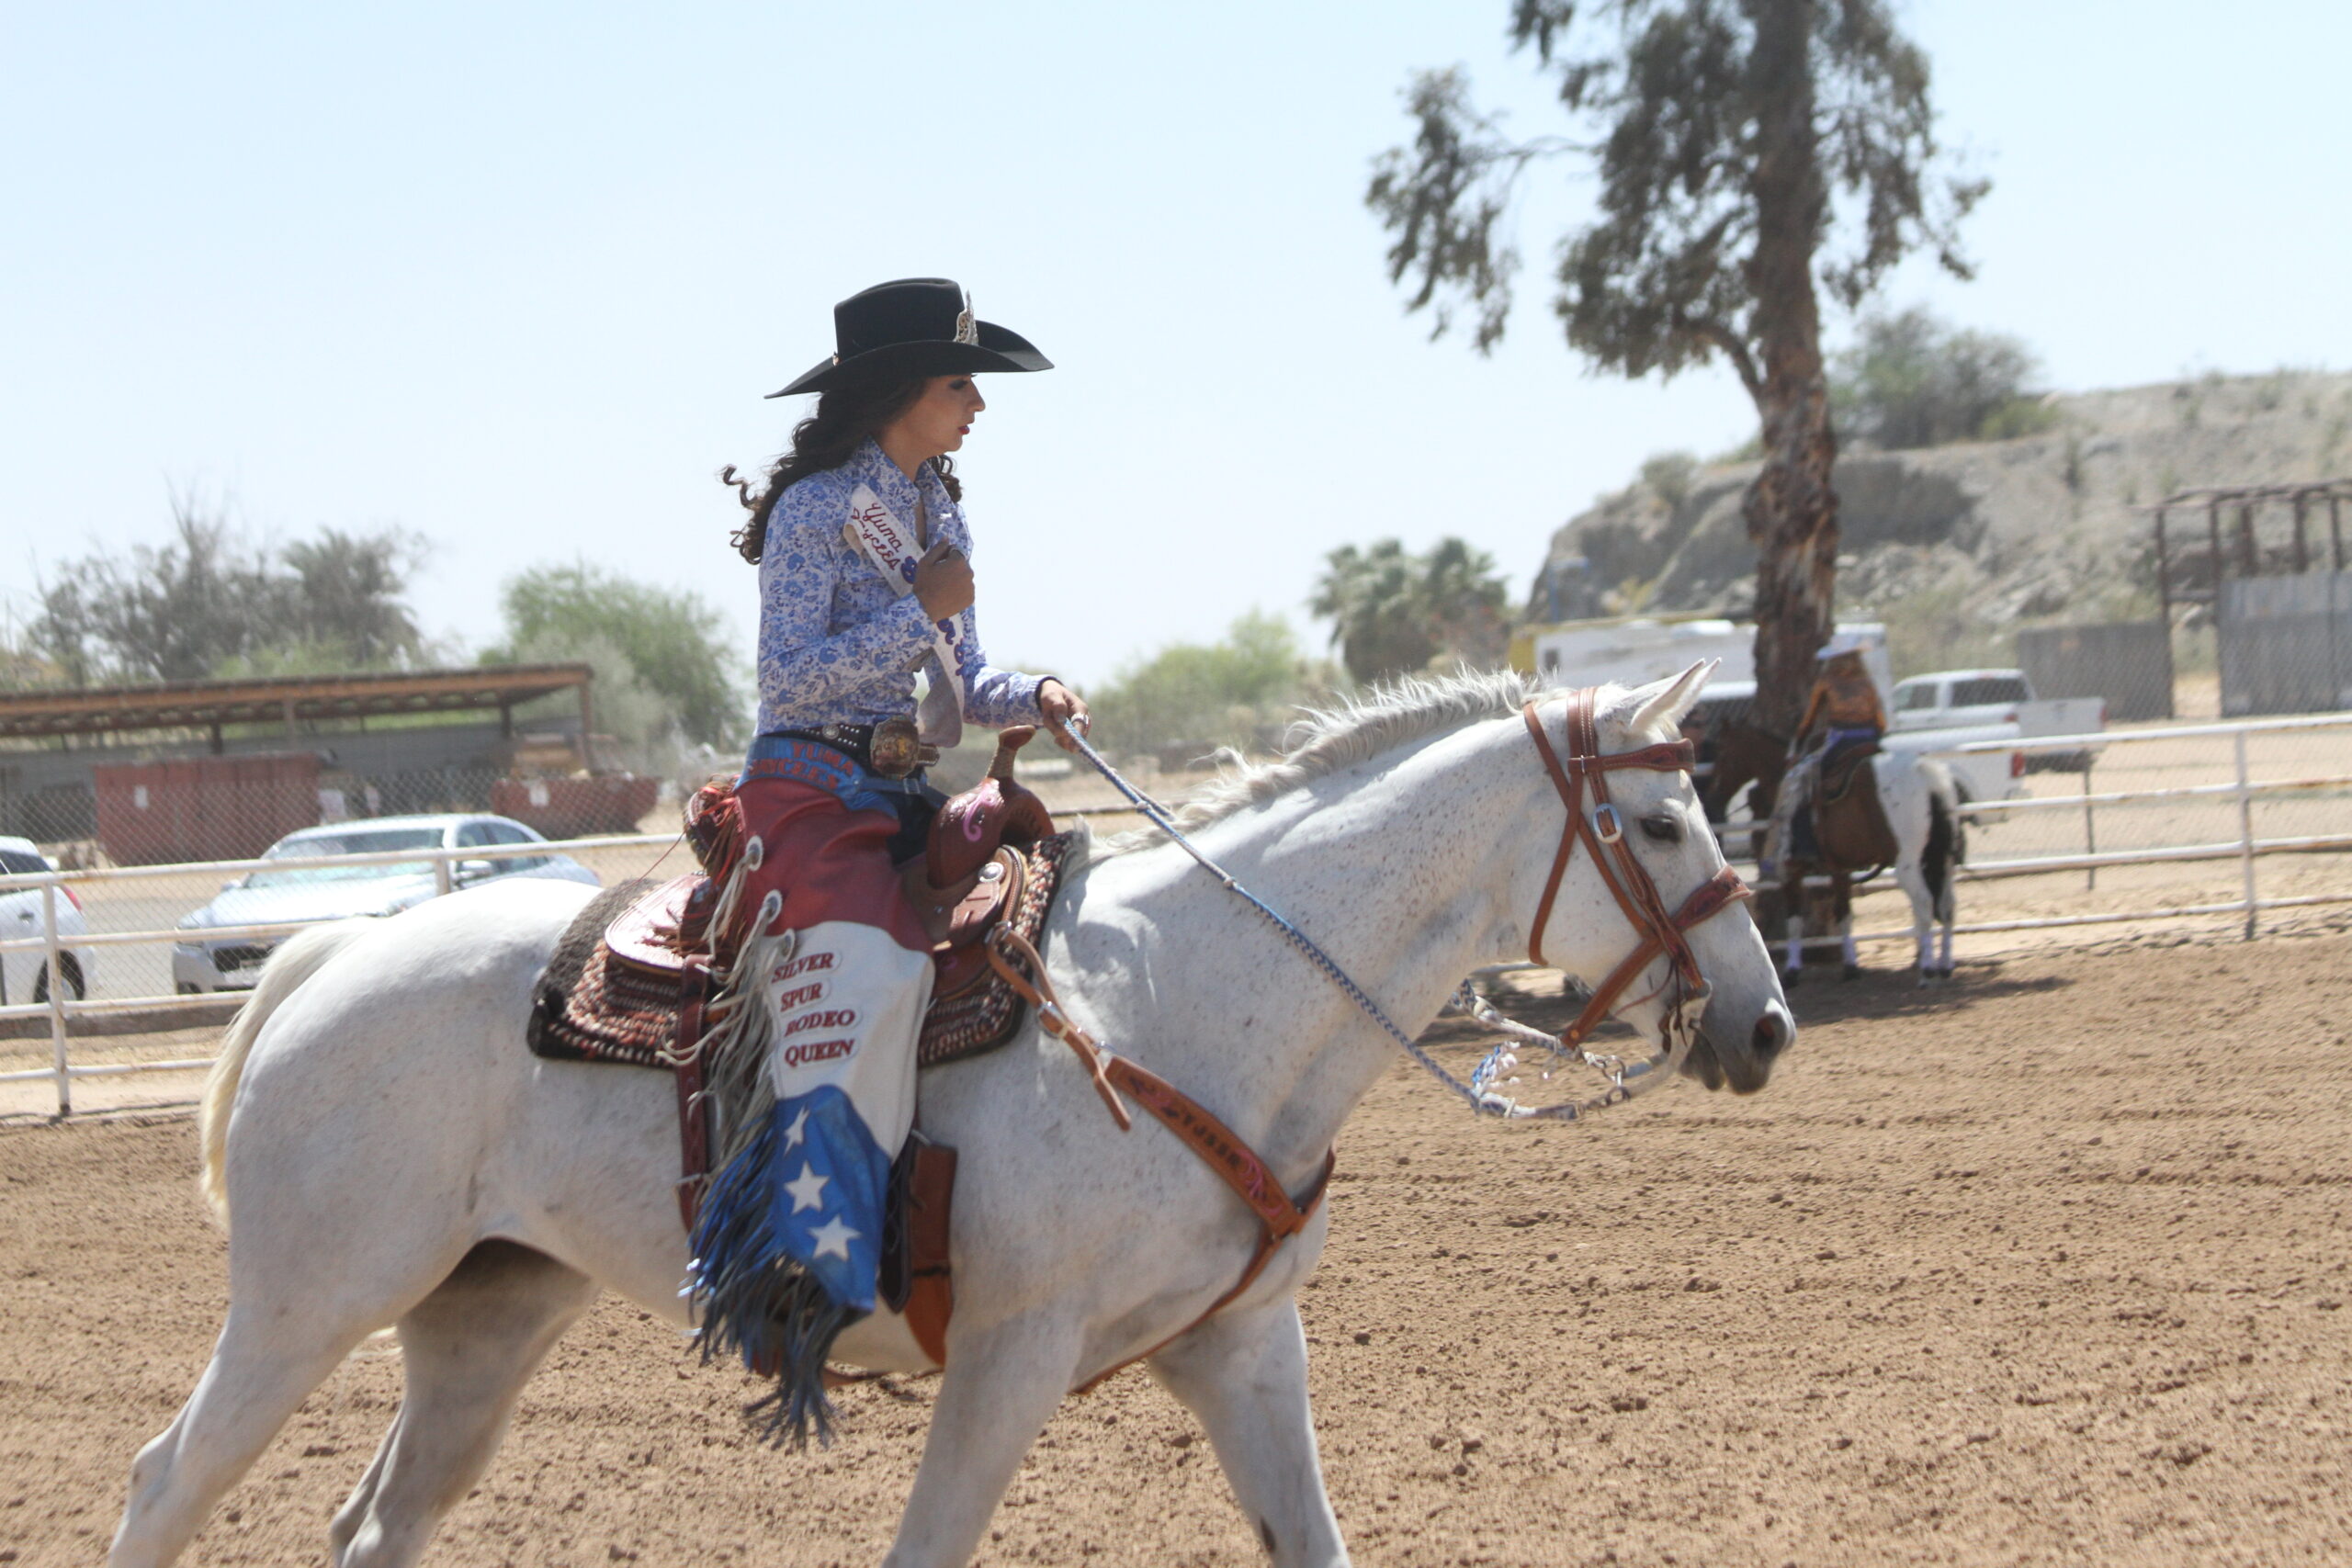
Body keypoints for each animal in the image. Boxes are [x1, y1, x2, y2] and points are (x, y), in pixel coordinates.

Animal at [110, 667, 1787, 1568]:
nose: (1764, 1023)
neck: (1194, 992)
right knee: (164, 1480)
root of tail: (334, 955)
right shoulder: (1010, 1350)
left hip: (480, 1323)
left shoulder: (1243, 1344)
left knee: (376, 1522)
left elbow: (1314, 1536)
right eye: (1656, 820)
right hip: (306, 1302)